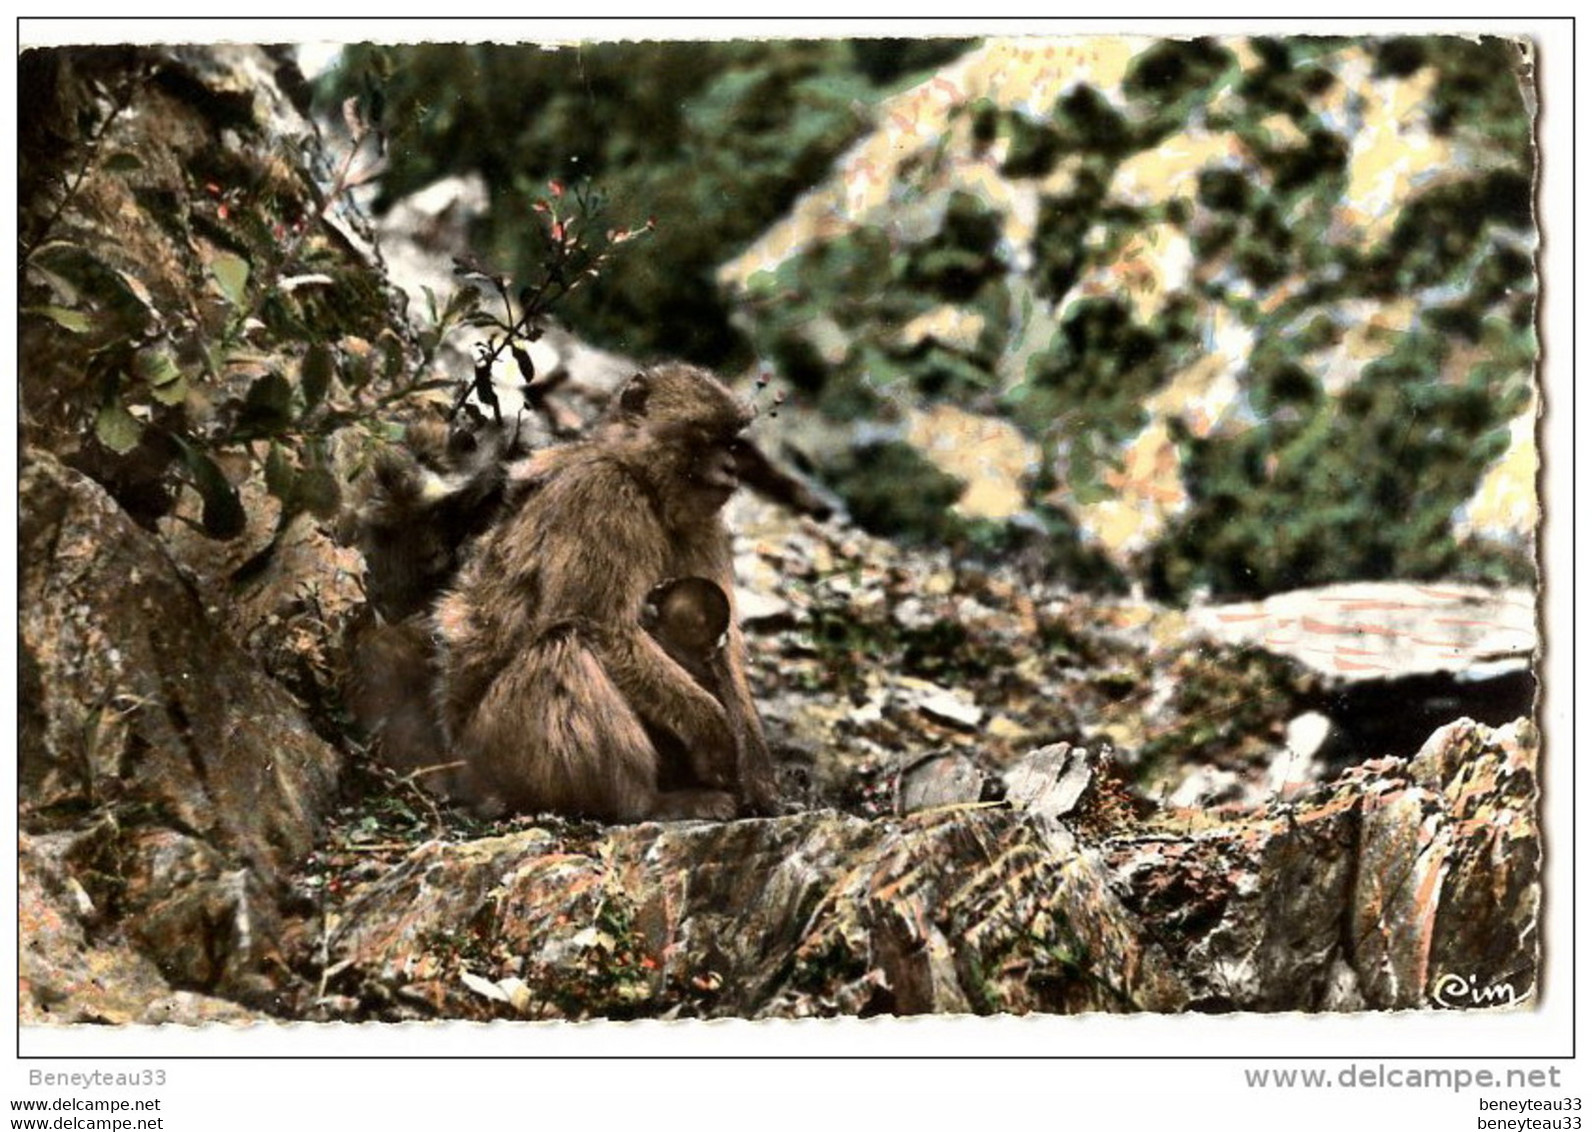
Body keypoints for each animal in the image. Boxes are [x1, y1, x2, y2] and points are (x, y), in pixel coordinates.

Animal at [429, 367, 776, 821]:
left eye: (730, 441)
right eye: (707, 436)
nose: (731, 467)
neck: (642, 481)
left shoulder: (704, 524)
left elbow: (725, 644)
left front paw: (757, 770)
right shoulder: (605, 494)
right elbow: (601, 622)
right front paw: (713, 733)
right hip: (498, 746)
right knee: (565, 646)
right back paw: (647, 803)